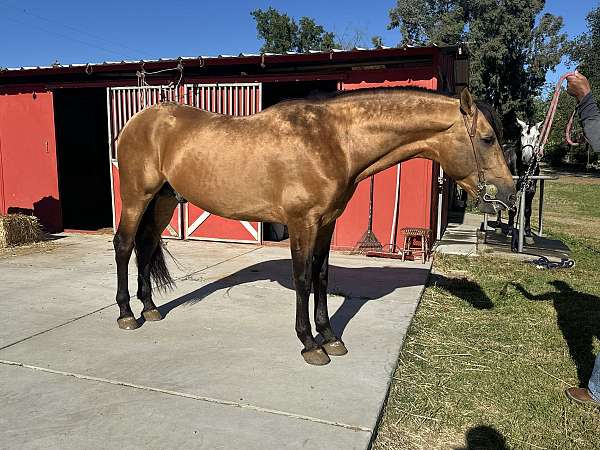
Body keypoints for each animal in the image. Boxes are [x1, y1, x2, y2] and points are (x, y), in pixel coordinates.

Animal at [112, 87, 516, 366]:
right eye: (487, 138)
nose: (508, 192)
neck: (333, 141)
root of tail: (138, 121)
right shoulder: (302, 223)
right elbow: (304, 279)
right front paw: (310, 343)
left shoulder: (326, 223)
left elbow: (322, 276)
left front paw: (330, 336)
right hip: (136, 198)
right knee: (124, 245)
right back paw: (127, 314)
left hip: (164, 200)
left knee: (146, 246)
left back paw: (150, 307)